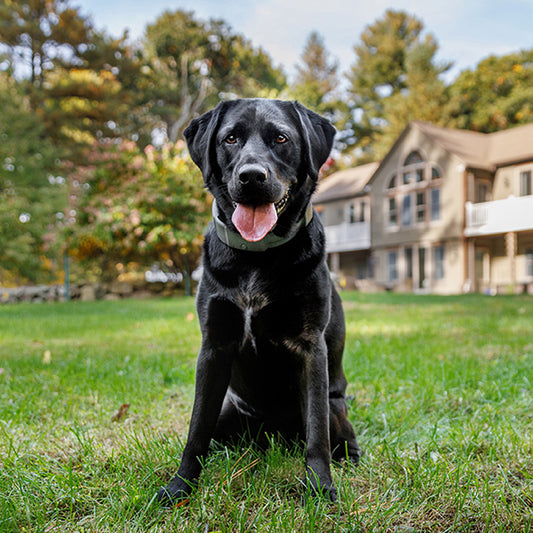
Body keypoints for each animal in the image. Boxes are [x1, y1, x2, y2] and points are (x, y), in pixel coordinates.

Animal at [156, 100, 360, 502]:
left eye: (281, 138)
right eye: (230, 138)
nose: (252, 177)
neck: (256, 256)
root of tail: (272, 437)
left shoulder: (310, 347)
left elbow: (316, 434)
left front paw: (320, 487)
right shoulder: (214, 346)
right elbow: (196, 429)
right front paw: (180, 485)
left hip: (335, 408)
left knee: (335, 433)